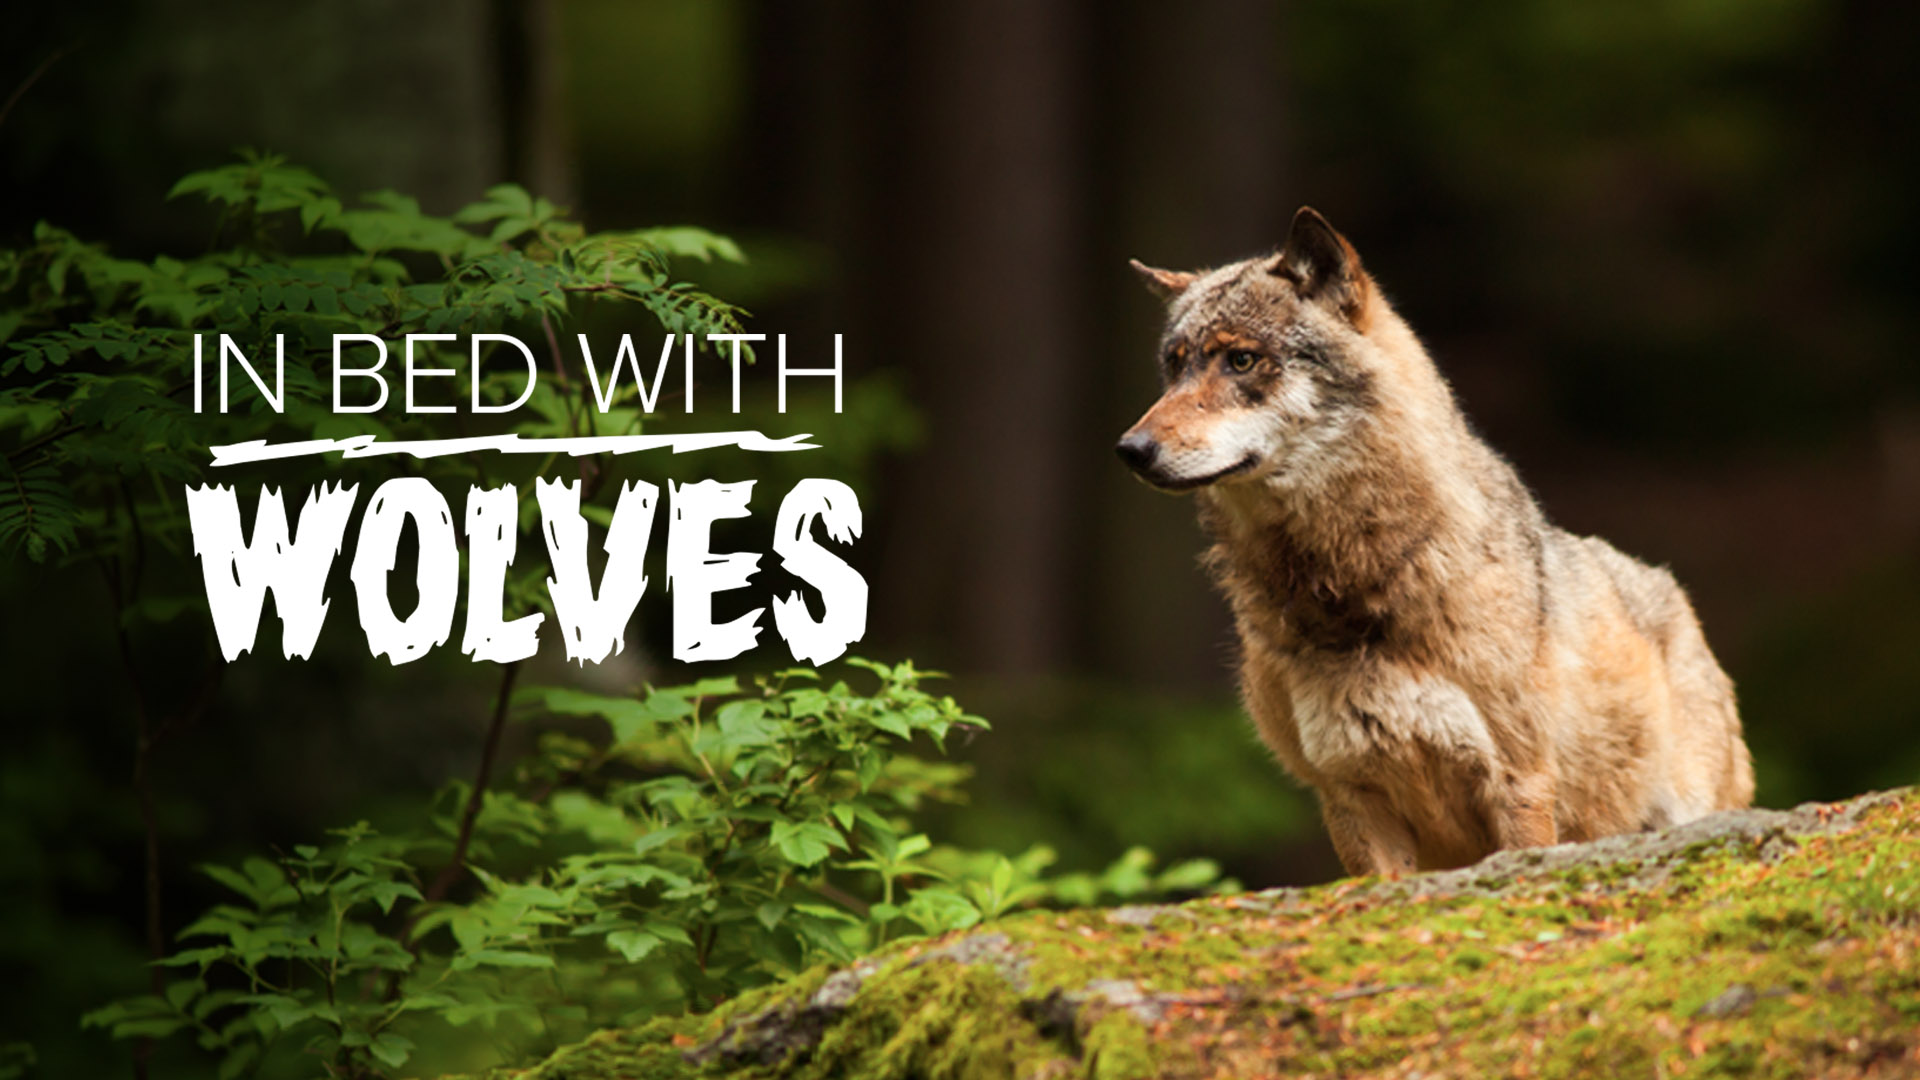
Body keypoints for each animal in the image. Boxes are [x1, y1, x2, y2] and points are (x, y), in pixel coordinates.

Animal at [1118, 208, 1754, 876]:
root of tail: (1672, 592)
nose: (1131, 450)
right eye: (1175, 367)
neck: (1351, 584)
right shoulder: (1350, 797)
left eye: (1241, 360)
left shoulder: (1518, 782)